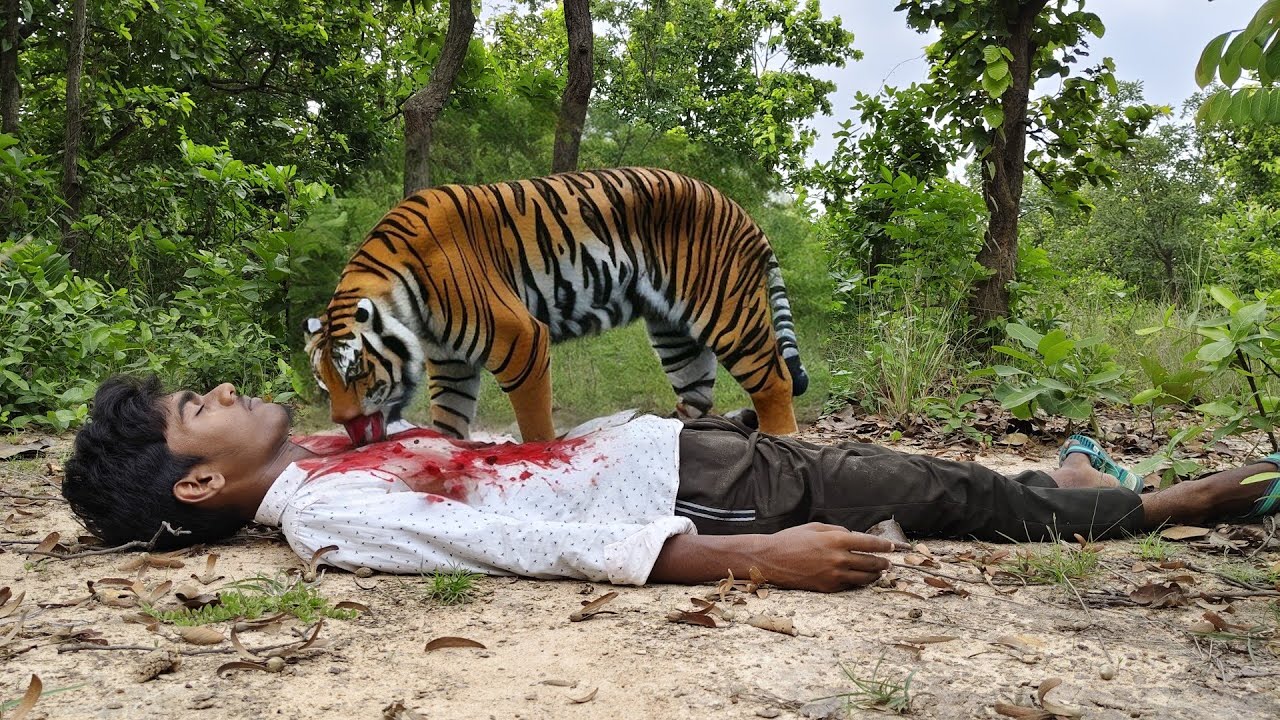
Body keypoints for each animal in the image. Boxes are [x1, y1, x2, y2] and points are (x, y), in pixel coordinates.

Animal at [305, 167, 809, 445]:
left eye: (357, 372)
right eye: (325, 384)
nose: (344, 423)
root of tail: (745, 215)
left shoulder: (520, 340)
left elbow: (534, 422)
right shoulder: (449, 361)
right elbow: (450, 416)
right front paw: (441, 451)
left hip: (728, 311)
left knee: (774, 380)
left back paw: (781, 440)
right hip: (674, 332)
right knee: (698, 394)